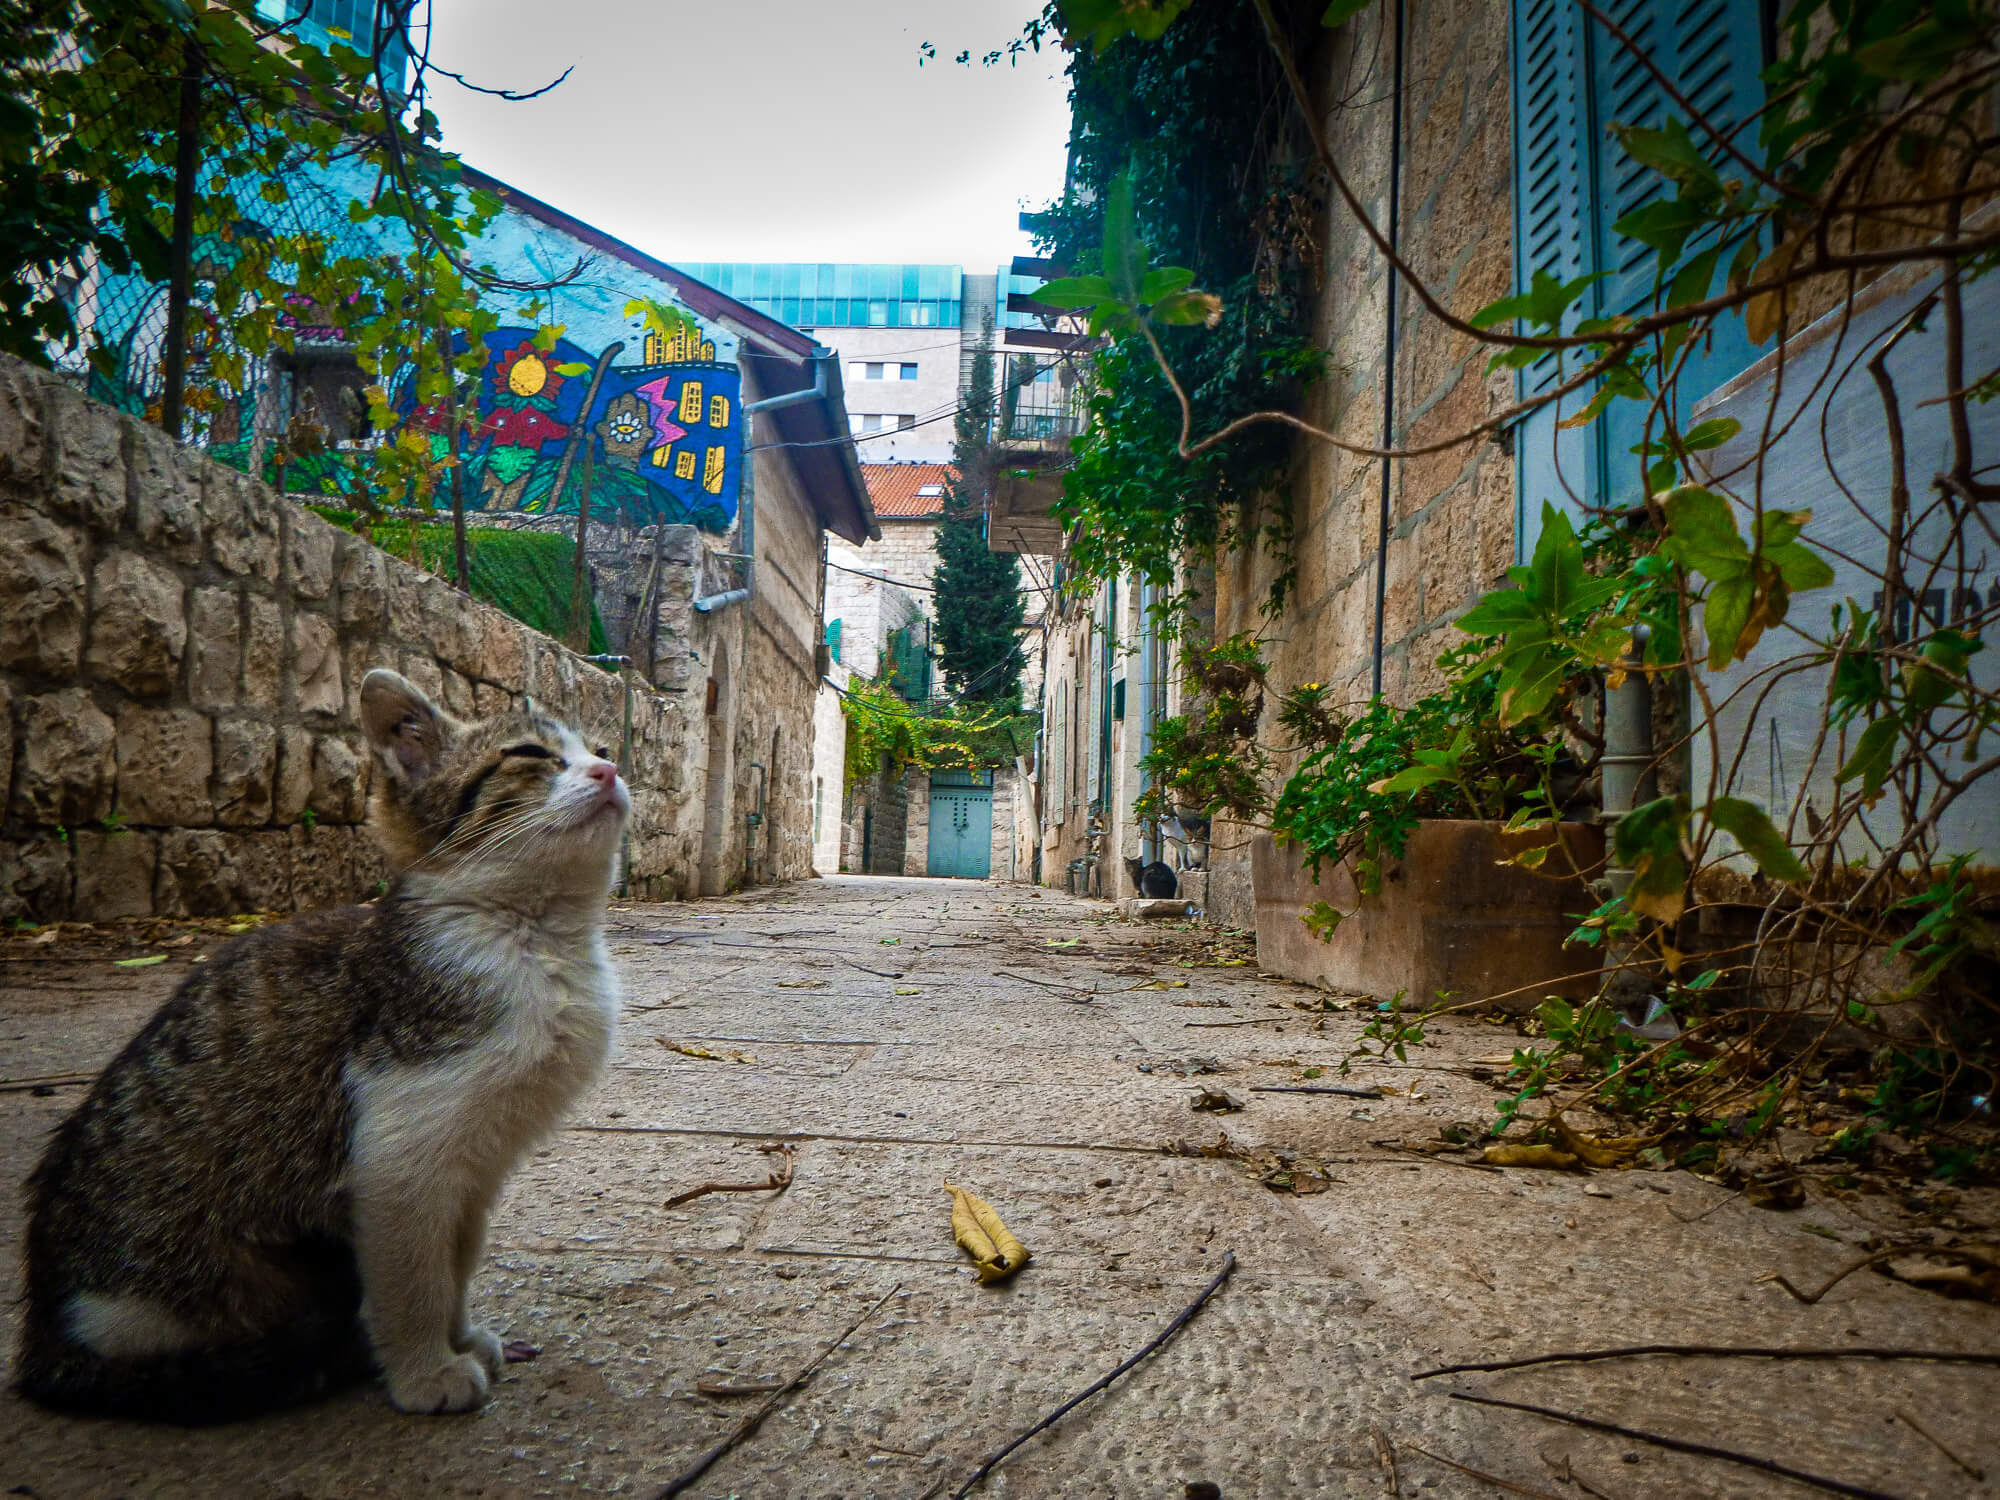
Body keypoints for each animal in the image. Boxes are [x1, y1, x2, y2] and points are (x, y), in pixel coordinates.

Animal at [13, 668, 624, 1424]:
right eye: (531, 755)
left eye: (602, 748)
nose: (609, 771)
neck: (535, 939)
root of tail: (41, 1343)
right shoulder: (397, 1152)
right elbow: (413, 1273)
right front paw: (424, 1368)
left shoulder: (478, 1164)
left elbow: (457, 1254)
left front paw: (459, 1336)